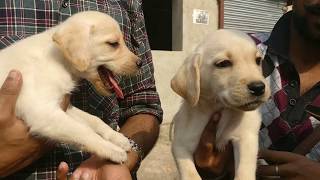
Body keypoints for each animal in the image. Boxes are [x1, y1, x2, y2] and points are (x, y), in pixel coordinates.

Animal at [0, 10, 140, 163]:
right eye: (113, 44)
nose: (140, 63)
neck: (58, 60)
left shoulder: (64, 107)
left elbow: (94, 120)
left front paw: (117, 138)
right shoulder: (42, 112)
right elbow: (84, 131)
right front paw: (113, 150)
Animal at [171, 29, 268, 180]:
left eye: (258, 61)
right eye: (223, 63)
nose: (258, 87)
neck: (221, 109)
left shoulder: (246, 138)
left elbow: (244, 172)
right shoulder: (180, 144)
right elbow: (190, 174)